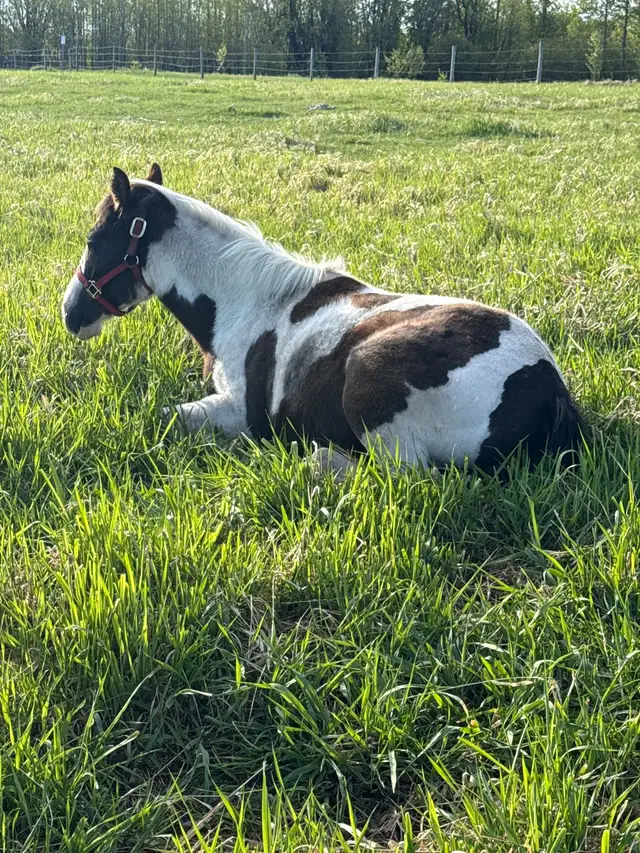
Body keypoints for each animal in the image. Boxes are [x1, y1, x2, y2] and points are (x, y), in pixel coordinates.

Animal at [62, 164, 585, 475]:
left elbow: (164, 417)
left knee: (409, 476)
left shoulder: (238, 413)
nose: (70, 313)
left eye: (94, 240)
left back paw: (317, 462)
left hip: (372, 379)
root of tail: (546, 385)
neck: (246, 301)